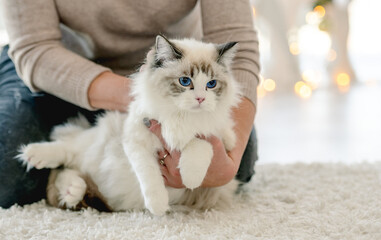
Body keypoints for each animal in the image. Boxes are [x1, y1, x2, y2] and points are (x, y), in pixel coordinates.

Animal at [17, 35, 240, 216]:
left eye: (211, 84)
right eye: (185, 81)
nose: (201, 99)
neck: (180, 117)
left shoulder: (218, 139)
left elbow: (199, 145)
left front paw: (190, 178)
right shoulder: (136, 140)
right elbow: (150, 177)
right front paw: (158, 206)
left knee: (69, 169)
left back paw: (72, 190)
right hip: (98, 141)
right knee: (67, 150)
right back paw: (34, 155)